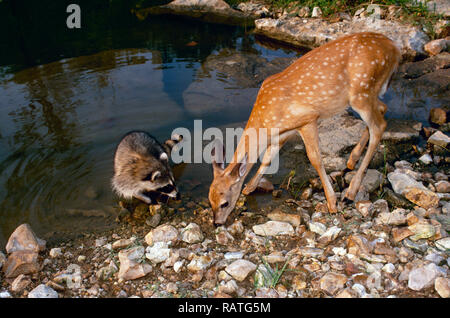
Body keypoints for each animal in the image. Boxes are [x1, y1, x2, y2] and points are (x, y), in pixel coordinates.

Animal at [208, 32, 400, 225]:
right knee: (383, 109)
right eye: (210, 200)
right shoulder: (283, 132)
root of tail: (395, 48)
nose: (217, 222)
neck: (266, 118)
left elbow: (315, 159)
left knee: (379, 126)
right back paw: (352, 160)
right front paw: (249, 188)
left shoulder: (308, 119)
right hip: (370, 93)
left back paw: (350, 193)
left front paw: (332, 203)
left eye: (224, 203)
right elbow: (268, 158)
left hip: (362, 92)